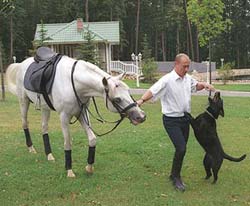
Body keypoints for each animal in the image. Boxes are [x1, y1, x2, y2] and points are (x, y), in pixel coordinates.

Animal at [5, 51, 146, 177]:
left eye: (129, 91)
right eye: (117, 99)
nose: (141, 116)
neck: (75, 84)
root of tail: (22, 64)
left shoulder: (81, 114)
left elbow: (92, 139)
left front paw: (89, 167)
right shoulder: (64, 116)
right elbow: (68, 143)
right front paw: (69, 170)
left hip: (45, 108)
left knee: (44, 128)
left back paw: (49, 155)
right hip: (23, 102)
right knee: (25, 123)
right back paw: (31, 148)